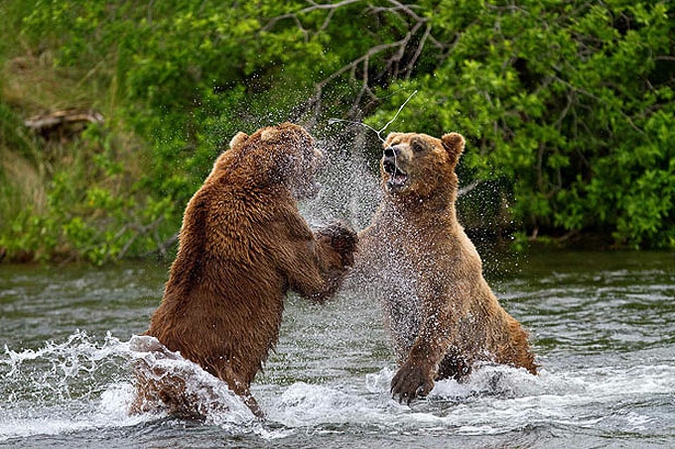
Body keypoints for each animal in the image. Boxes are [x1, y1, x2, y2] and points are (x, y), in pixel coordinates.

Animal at [129, 121, 356, 416]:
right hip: (223, 375)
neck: (265, 176)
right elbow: (314, 274)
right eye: (309, 143)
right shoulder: (274, 222)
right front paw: (342, 234)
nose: (323, 154)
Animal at [354, 130, 540, 402]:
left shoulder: (448, 264)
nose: (391, 153)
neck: (414, 216)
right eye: (393, 142)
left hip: (503, 348)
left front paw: (407, 382)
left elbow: (439, 317)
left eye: (418, 145)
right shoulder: (384, 249)